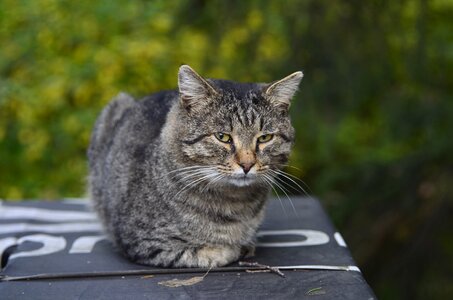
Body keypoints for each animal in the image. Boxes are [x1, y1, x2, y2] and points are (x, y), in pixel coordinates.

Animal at [87, 65, 302, 268]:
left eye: (265, 138)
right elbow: (212, 253)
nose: (247, 164)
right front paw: (233, 247)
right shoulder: (145, 243)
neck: (235, 203)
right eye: (222, 137)